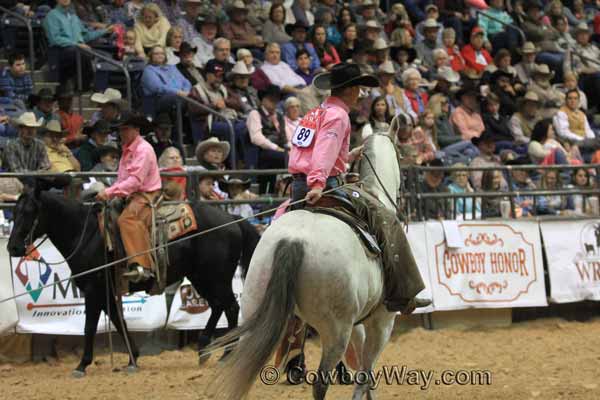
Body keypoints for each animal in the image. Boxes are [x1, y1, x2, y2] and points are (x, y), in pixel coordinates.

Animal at [6, 186, 260, 376]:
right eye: (14, 212)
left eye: (29, 212)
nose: (13, 247)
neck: (85, 233)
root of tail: (231, 219)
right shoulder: (106, 292)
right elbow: (119, 321)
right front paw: (133, 358)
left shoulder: (93, 289)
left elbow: (90, 326)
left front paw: (82, 364)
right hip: (202, 277)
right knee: (218, 306)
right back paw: (205, 349)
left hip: (216, 277)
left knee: (230, 306)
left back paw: (226, 354)